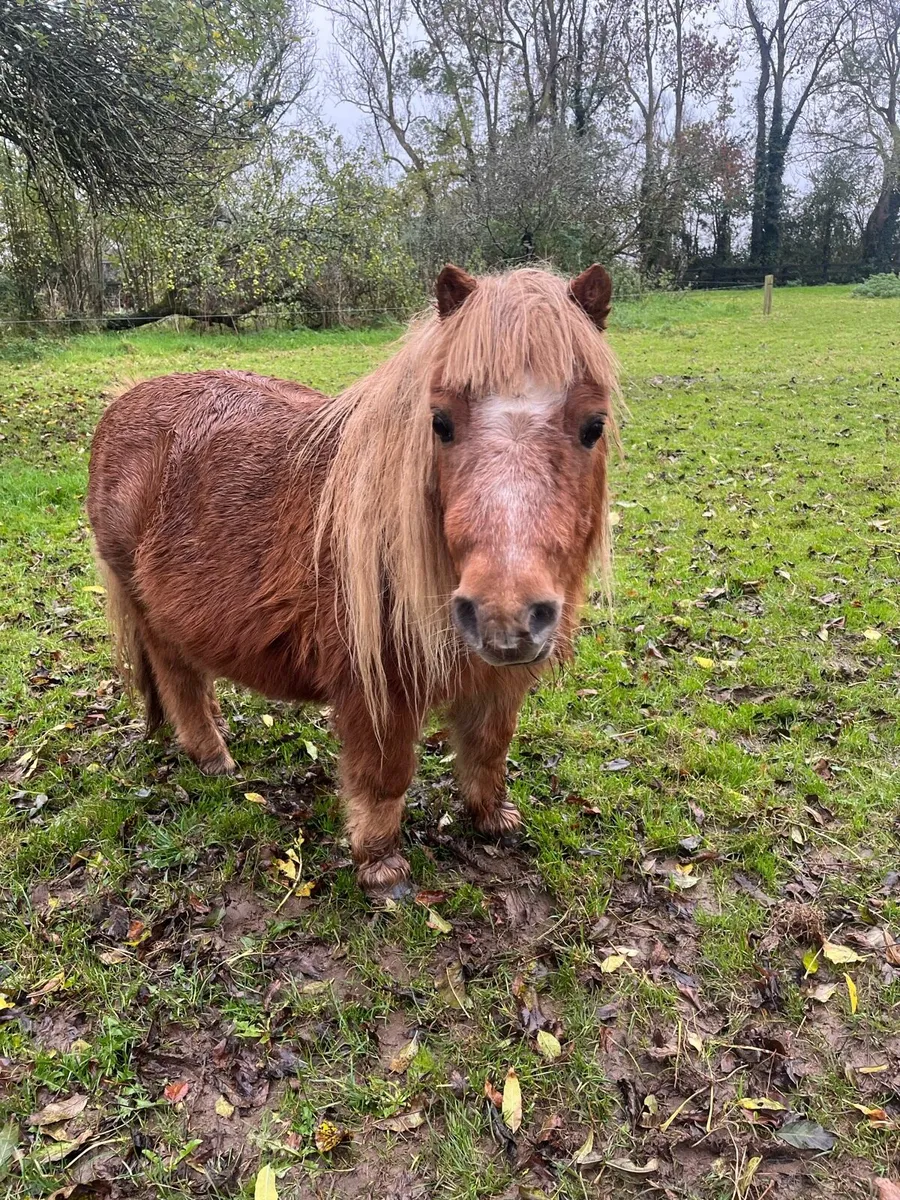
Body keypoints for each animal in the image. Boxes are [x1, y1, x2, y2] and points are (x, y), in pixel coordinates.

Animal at [87, 263, 618, 898]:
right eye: (439, 423)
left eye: (593, 426)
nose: (505, 616)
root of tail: (122, 403)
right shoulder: (375, 685)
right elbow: (385, 775)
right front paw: (381, 866)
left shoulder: (497, 678)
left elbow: (489, 749)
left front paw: (493, 819)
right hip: (150, 613)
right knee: (178, 678)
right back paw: (213, 755)